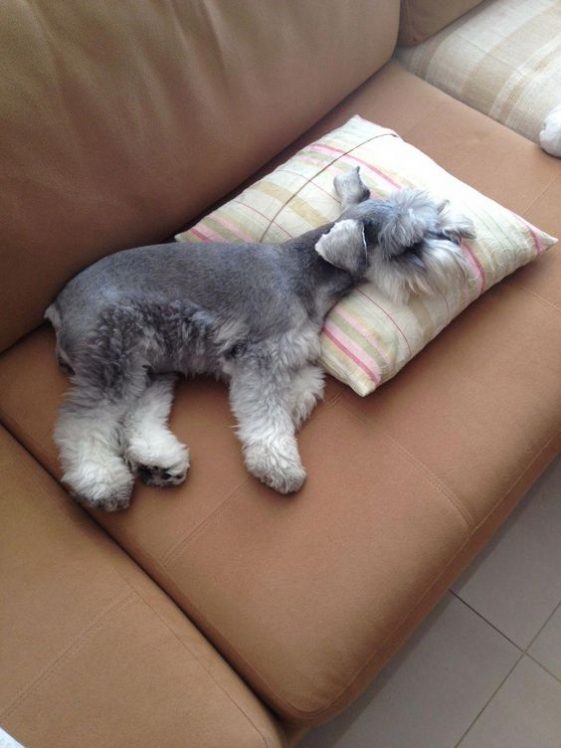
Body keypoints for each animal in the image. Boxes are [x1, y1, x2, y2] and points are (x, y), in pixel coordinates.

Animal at [44, 168, 472, 508]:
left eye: (434, 220)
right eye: (409, 243)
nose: (459, 238)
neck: (306, 275)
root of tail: (57, 306)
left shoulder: (292, 354)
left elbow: (307, 385)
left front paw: (290, 411)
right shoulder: (258, 356)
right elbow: (265, 410)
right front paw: (278, 464)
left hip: (154, 365)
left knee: (137, 413)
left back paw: (158, 462)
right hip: (113, 356)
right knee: (82, 421)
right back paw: (101, 482)